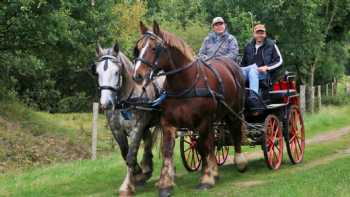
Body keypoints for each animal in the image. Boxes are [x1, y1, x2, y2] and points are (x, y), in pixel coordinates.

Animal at [91, 42, 163, 196]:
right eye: (97, 73)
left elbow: (131, 155)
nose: (106, 104)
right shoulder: (117, 130)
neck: (126, 101)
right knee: (148, 142)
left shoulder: (137, 127)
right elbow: (125, 153)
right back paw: (146, 169)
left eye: (117, 72)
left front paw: (127, 186)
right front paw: (138, 174)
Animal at [132, 20, 249, 196]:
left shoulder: (203, 121)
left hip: (233, 112)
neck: (184, 84)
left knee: (234, 131)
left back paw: (239, 162)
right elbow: (169, 150)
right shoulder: (168, 123)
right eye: (138, 47)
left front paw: (206, 179)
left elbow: (204, 147)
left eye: (154, 48)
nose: (137, 75)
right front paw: (165, 184)